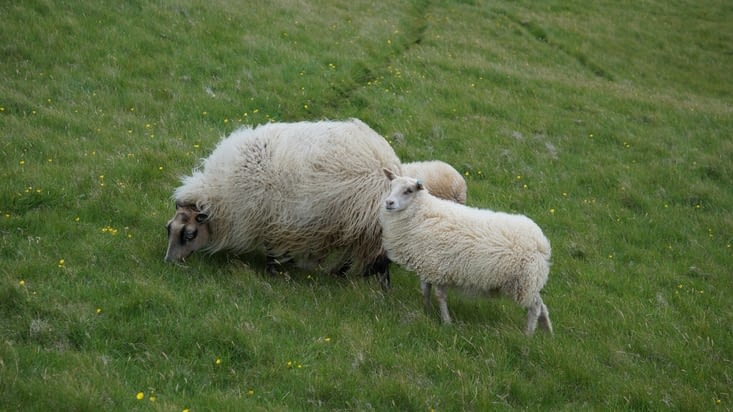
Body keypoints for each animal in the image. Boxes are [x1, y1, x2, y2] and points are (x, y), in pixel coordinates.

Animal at [165, 119, 401, 288]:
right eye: (169, 229)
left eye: (190, 234)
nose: (168, 262)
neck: (220, 194)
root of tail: (390, 160)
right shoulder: (276, 222)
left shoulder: (268, 220)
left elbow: (271, 250)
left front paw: (273, 270)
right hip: (356, 227)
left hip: (364, 226)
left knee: (376, 261)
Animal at [379, 169, 553, 335]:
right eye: (391, 186)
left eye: (408, 191)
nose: (389, 202)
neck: (421, 214)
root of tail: (542, 242)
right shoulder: (426, 264)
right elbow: (425, 291)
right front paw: (426, 310)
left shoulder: (439, 268)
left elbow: (440, 296)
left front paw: (446, 321)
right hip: (528, 282)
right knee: (541, 304)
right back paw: (547, 331)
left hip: (524, 282)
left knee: (535, 307)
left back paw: (528, 334)